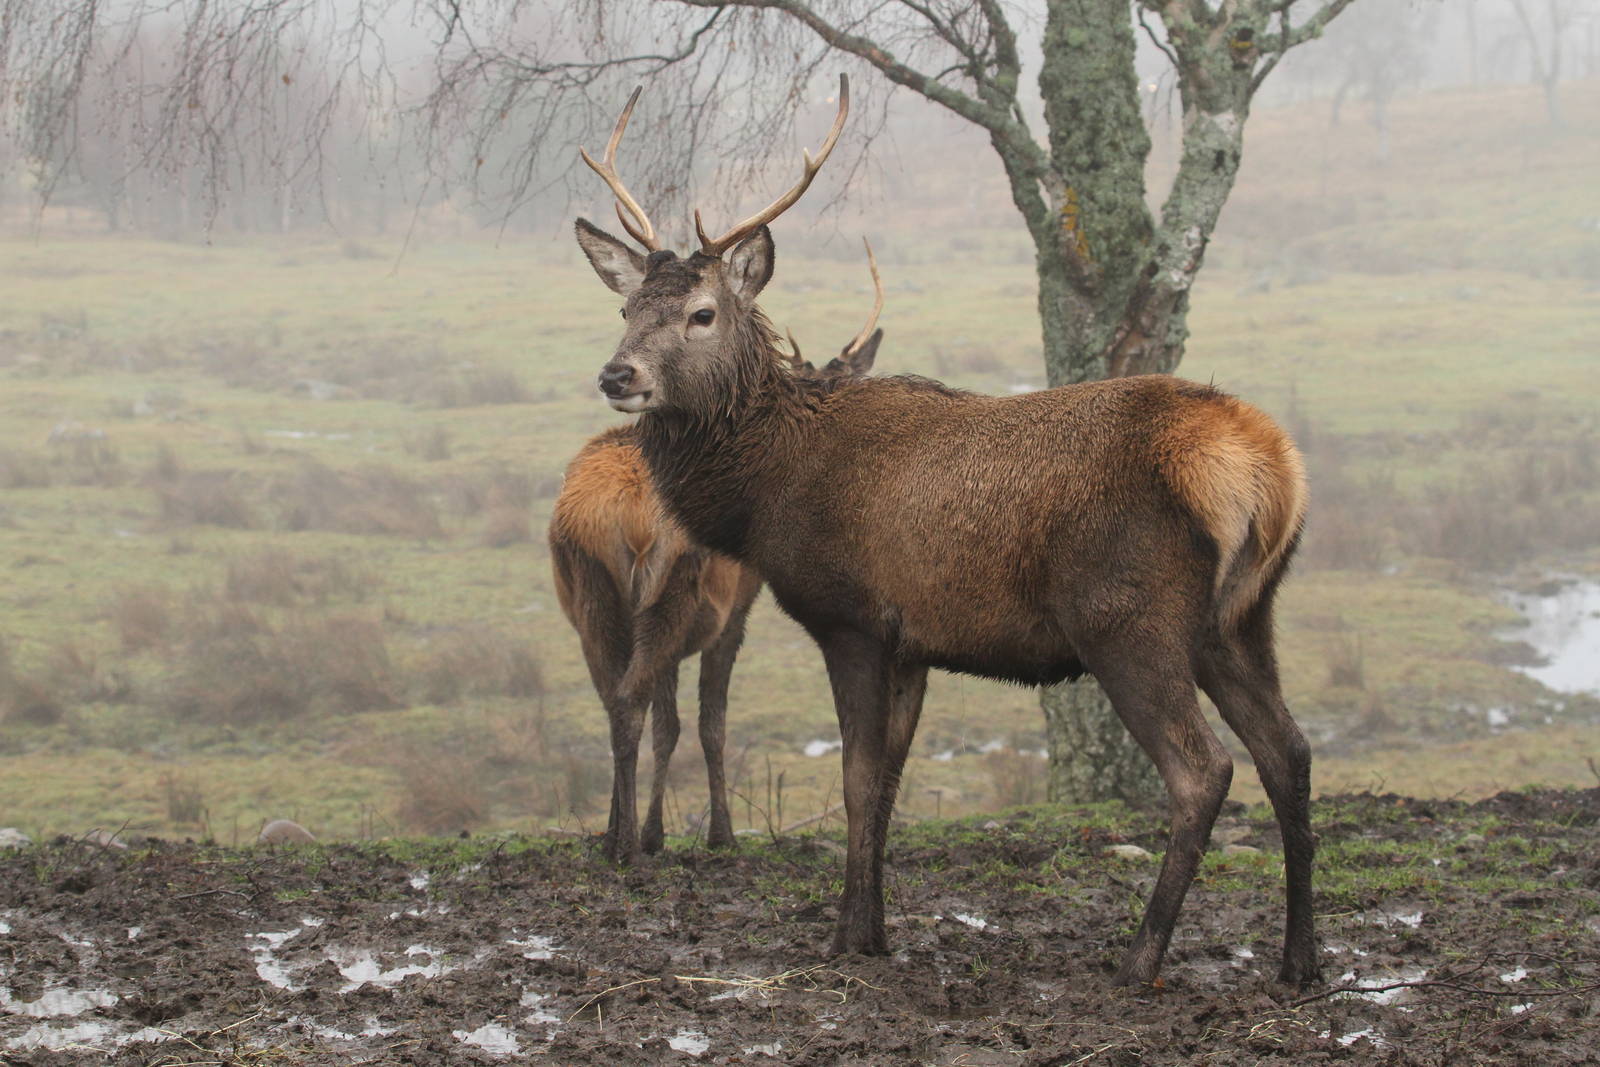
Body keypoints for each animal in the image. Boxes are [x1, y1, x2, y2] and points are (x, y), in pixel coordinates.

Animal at [552, 127, 885, 863]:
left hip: (590, 598)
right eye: (627, 308)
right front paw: (715, 833)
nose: (617, 374)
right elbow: (707, 722)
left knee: (615, 702)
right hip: (671, 590)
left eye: (700, 313)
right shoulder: (737, 604)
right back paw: (627, 845)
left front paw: (652, 831)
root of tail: (617, 519)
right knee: (635, 700)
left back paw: (612, 836)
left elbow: (669, 722)